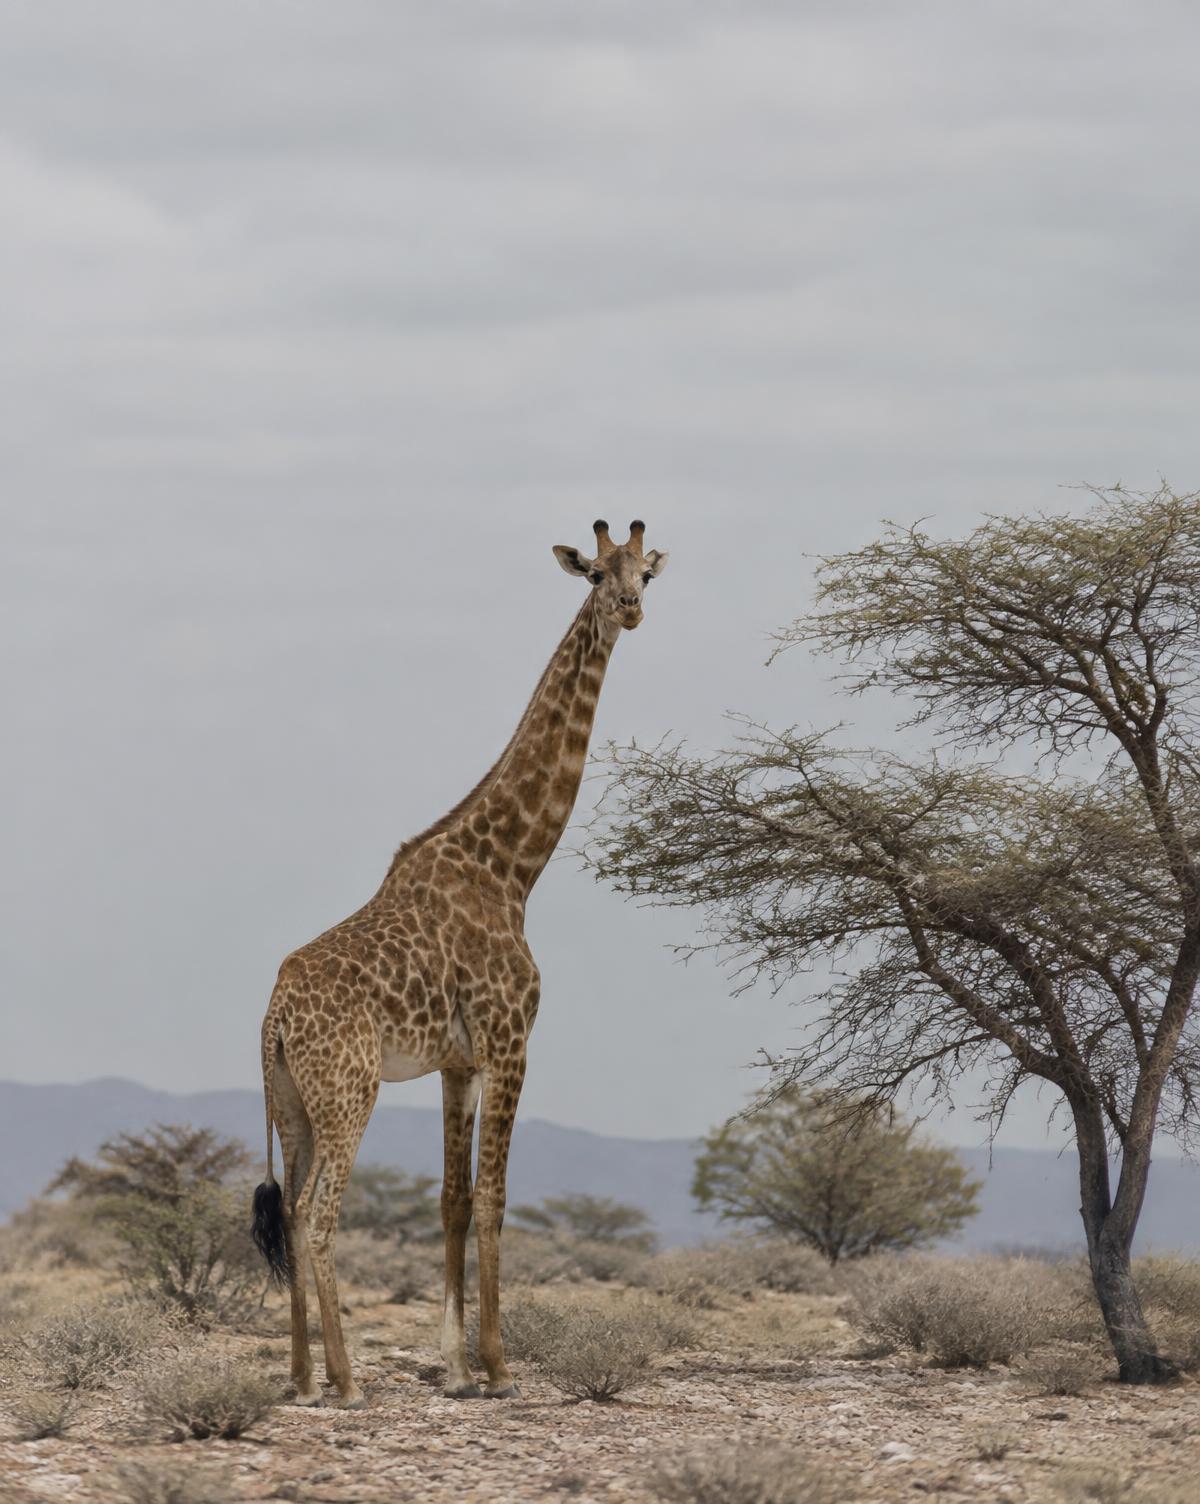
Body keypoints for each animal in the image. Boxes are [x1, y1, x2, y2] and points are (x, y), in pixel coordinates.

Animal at [251, 519, 669, 1407]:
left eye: (647, 573)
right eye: (596, 573)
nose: (629, 609)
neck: (511, 866)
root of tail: (273, 1018)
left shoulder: (458, 1060)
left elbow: (451, 1199)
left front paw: (453, 1366)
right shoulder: (512, 1040)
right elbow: (496, 1198)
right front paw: (500, 1367)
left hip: (291, 1102)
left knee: (293, 1210)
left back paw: (300, 1376)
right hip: (350, 1090)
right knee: (314, 1214)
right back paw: (346, 1380)